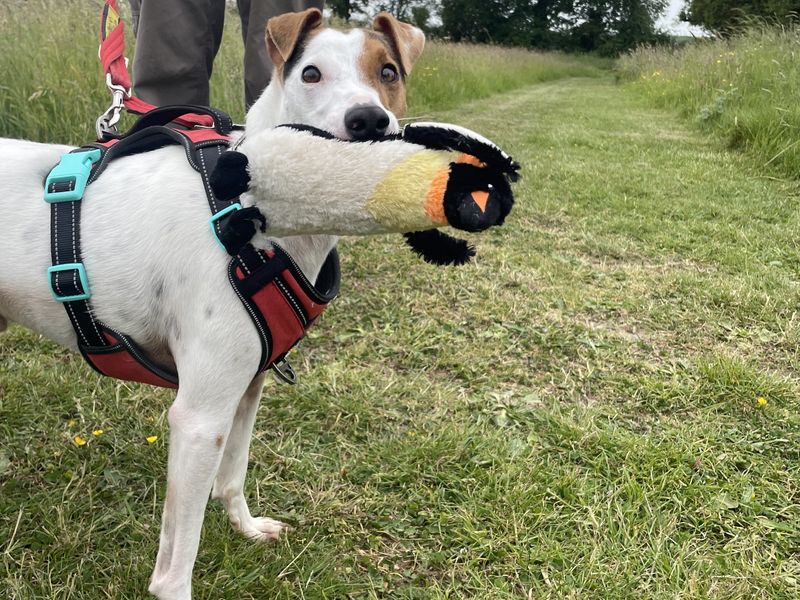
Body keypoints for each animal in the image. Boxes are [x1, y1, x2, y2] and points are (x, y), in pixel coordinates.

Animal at [0, 10, 424, 600]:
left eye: (388, 71)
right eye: (310, 74)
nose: (368, 120)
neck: (248, 211)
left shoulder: (245, 389)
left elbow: (234, 474)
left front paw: (245, 527)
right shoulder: (198, 420)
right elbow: (177, 562)